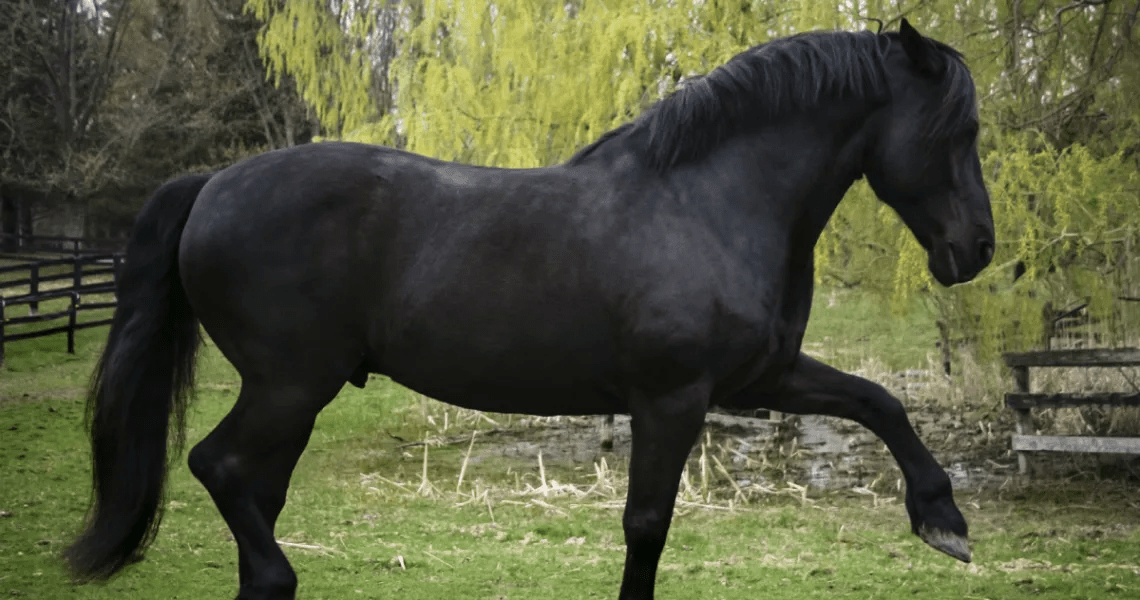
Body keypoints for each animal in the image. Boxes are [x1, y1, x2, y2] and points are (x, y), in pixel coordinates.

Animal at [66, 19, 993, 600]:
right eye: (954, 132)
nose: (977, 250)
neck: (706, 202)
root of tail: (212, 183)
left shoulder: (761, 378)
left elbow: (879, 401)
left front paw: (942, 519)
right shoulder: (672, 399)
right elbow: (647, 525)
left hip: (290, 397)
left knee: (253, 493)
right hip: (289, 386)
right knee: (218, 469)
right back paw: (279, 574)